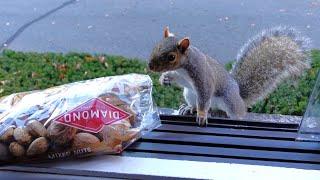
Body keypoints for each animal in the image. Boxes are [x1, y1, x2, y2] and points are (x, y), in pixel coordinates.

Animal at [149, 26, 312, 126]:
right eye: (156, 46)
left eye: (172, 57)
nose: (150, 66)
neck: (183, 68)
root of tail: (240, 97)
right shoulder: (183, 77)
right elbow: (177, 78)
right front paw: (164, 78)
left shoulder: (202, 76)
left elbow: (204, 97)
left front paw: (201, 115)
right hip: (189, 93)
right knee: (196, 103)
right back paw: (189, 108)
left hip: (230, 101)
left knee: (234, 113)